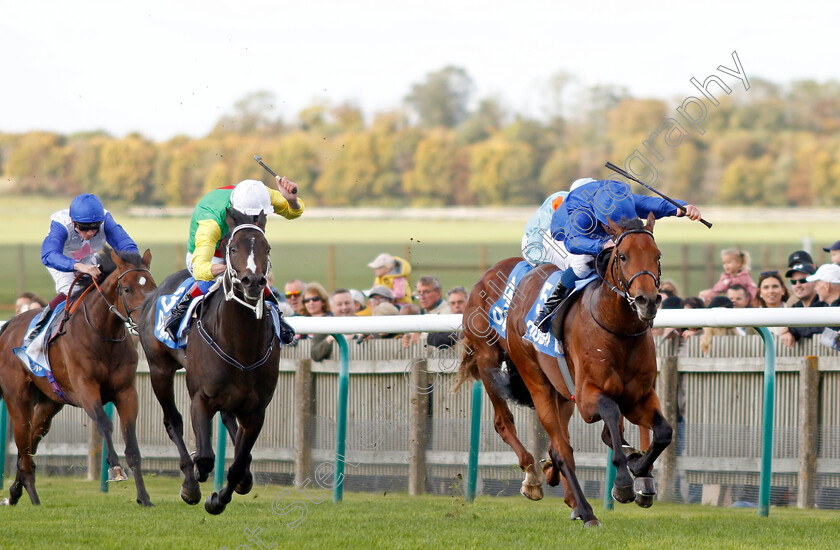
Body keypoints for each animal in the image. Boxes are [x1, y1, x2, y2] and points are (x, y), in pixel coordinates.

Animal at [0, 250, 154, 508]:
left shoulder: (126, 392)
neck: (102, 335)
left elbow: (131, 443)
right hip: (17, 400)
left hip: (49, 403)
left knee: (30, 443)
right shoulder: (85, 389)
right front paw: (115, 468)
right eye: (127, 289)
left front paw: (144, 497)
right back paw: (34, 498)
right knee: (23, 444)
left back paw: (14, 492)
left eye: (153, 287)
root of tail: (10, 323)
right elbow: (104, 423)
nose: (144, 323)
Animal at [138, 208, 280, 516]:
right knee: (173, 421)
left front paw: (218, 499)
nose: (253, 282)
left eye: (267, 248)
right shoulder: (200, 399)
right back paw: (190, 482)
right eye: (233, 248)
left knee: (228, 420)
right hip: (159, 370)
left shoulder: (257, 411)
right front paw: (196, 479)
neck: (241, 346)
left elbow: (238, 464)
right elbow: (204, 456)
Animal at [456, 213, 672, 528]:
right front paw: (622, 482)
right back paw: (570, 501)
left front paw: (640, 470)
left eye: (657, 256)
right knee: (536, 437)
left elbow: (662, 432)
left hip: (561, 393)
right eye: (622, 256)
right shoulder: (588, 397)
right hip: (506, 370)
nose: (648, 300)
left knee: (558, 447)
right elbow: (611, 416)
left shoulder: (640, 398)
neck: (617, 331)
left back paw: (571, 497)